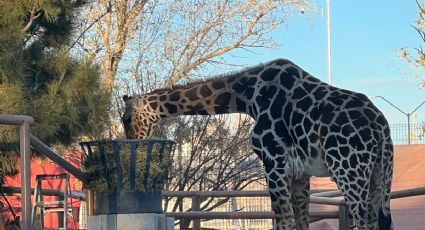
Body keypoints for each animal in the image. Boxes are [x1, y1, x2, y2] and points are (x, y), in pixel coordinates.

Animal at [121, 58, 392, 229]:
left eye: (126, 119)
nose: (131, 143)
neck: (245, 95)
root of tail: (381, 128)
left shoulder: (274, 163)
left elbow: (284, 221)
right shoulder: (300, 173)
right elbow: (300, 221)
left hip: (348, 170)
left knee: (365, 220)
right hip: (380, 172)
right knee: (381, 219)